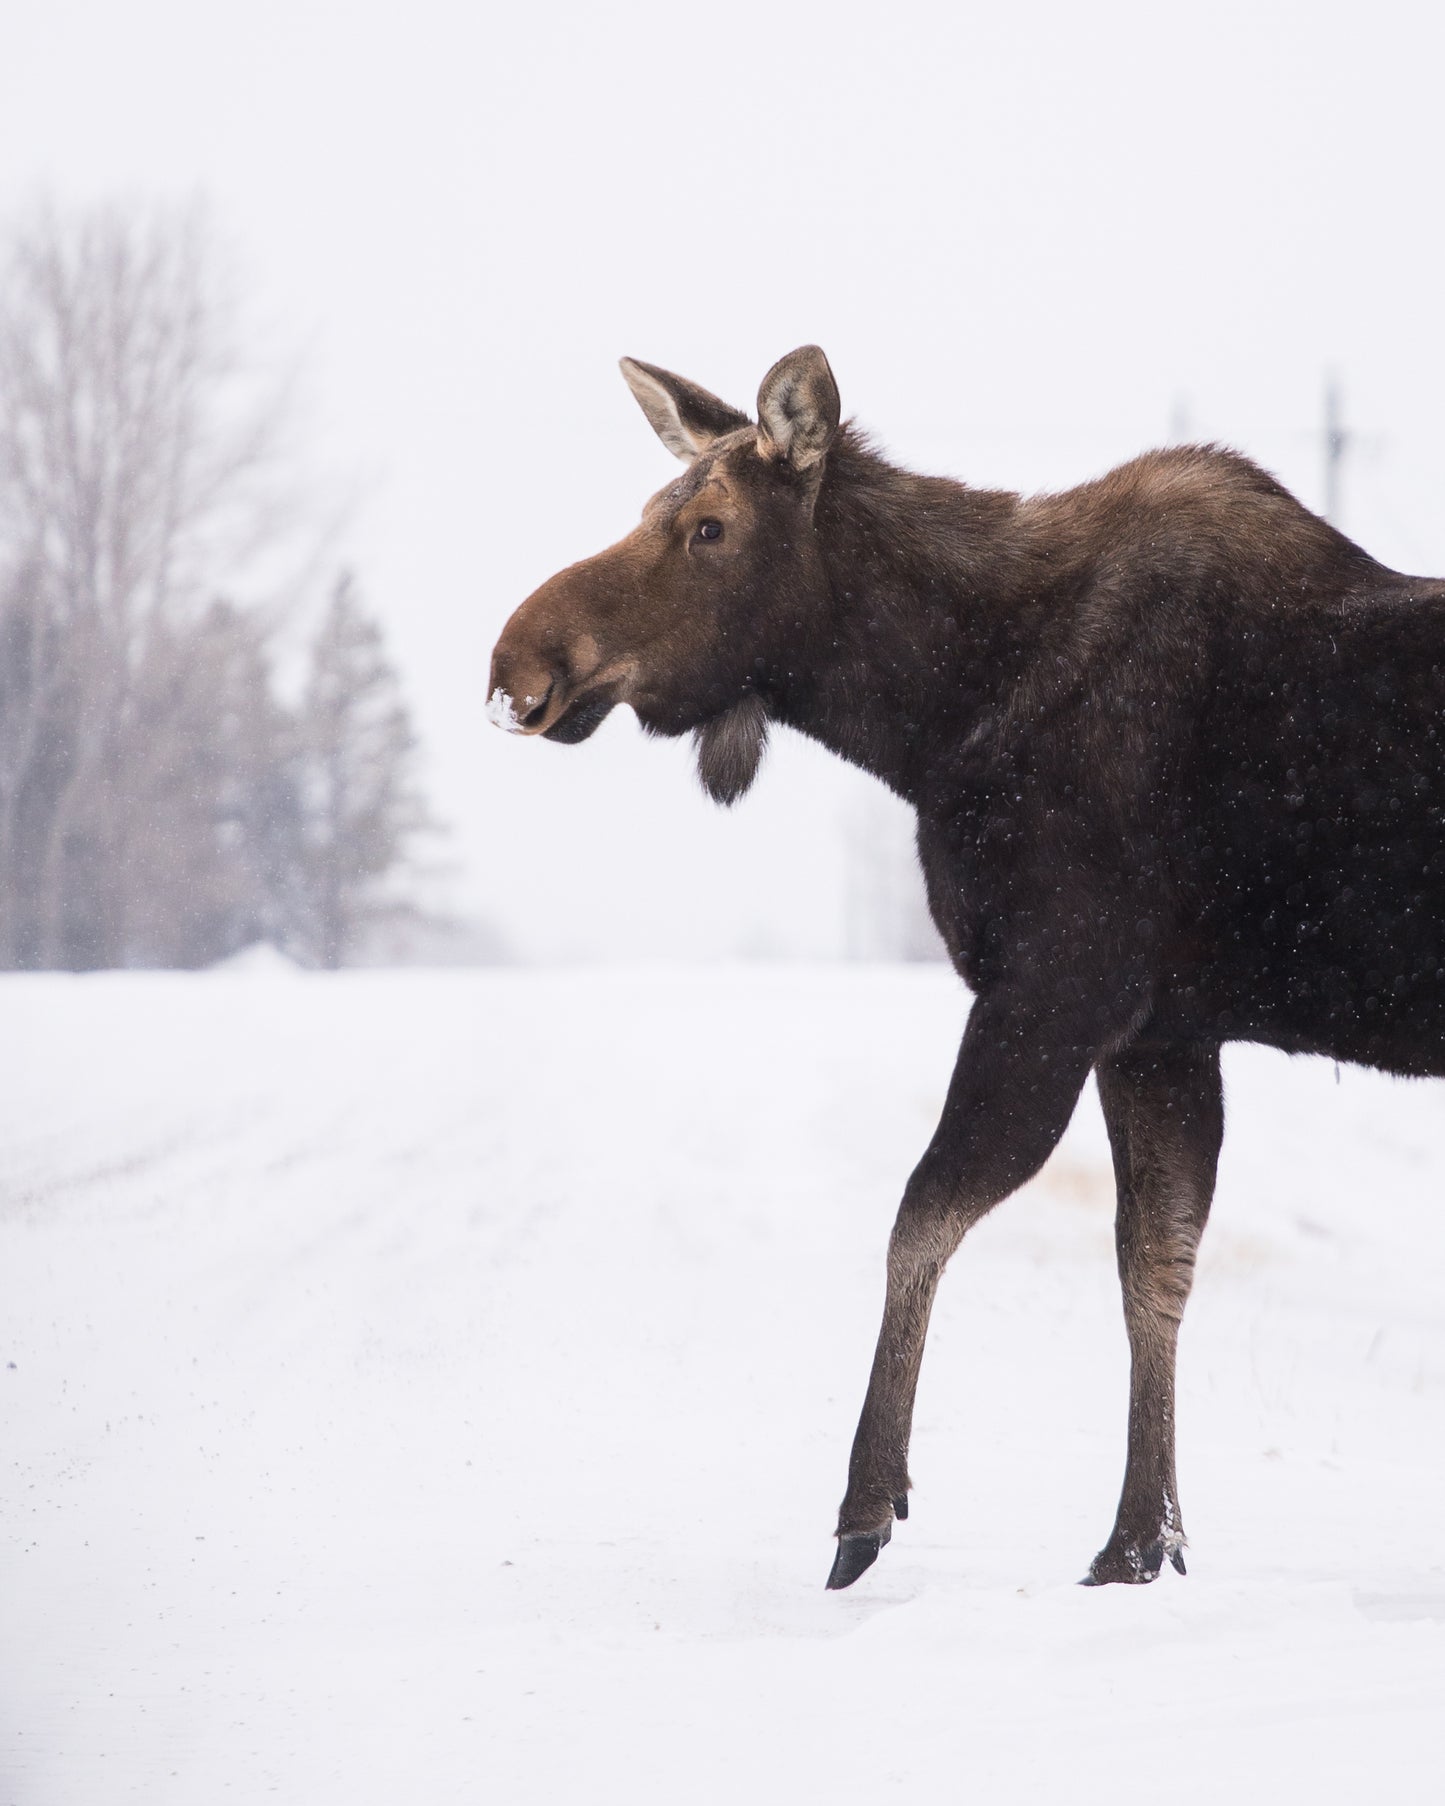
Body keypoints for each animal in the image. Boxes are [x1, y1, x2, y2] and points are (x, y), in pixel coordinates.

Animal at [487, 346, 1445, 1590]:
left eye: (707, 526)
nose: (516, 661)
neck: (933, 721)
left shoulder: (1053, 990)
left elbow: (924, 1212)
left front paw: (864, 1504)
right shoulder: (1159, 1029)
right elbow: (1155, 1265)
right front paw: (1136, 1545)